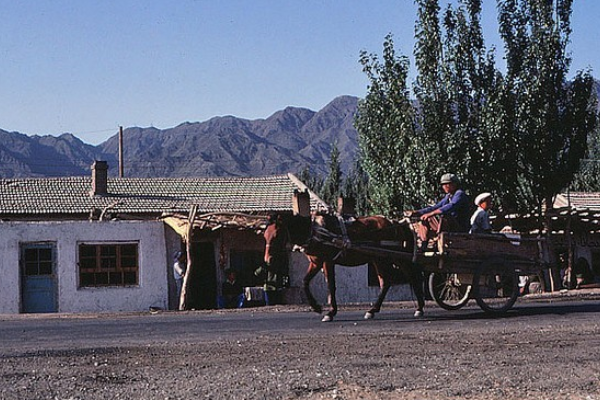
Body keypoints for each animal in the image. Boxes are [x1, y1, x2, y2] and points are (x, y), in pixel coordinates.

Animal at [264, 212, 426, 322]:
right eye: (265, 235)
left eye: (277, 234)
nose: (268, 260)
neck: (315, 231)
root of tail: (393, 222)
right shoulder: (316, 262)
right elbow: (305, 282)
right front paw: (317, 307)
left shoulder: (327, 261)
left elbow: (331, 285)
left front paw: (330, 312)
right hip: (378, 258)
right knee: (386, 282)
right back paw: (373, 310)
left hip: (393, 257)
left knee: (411, 277)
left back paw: (419, 308)